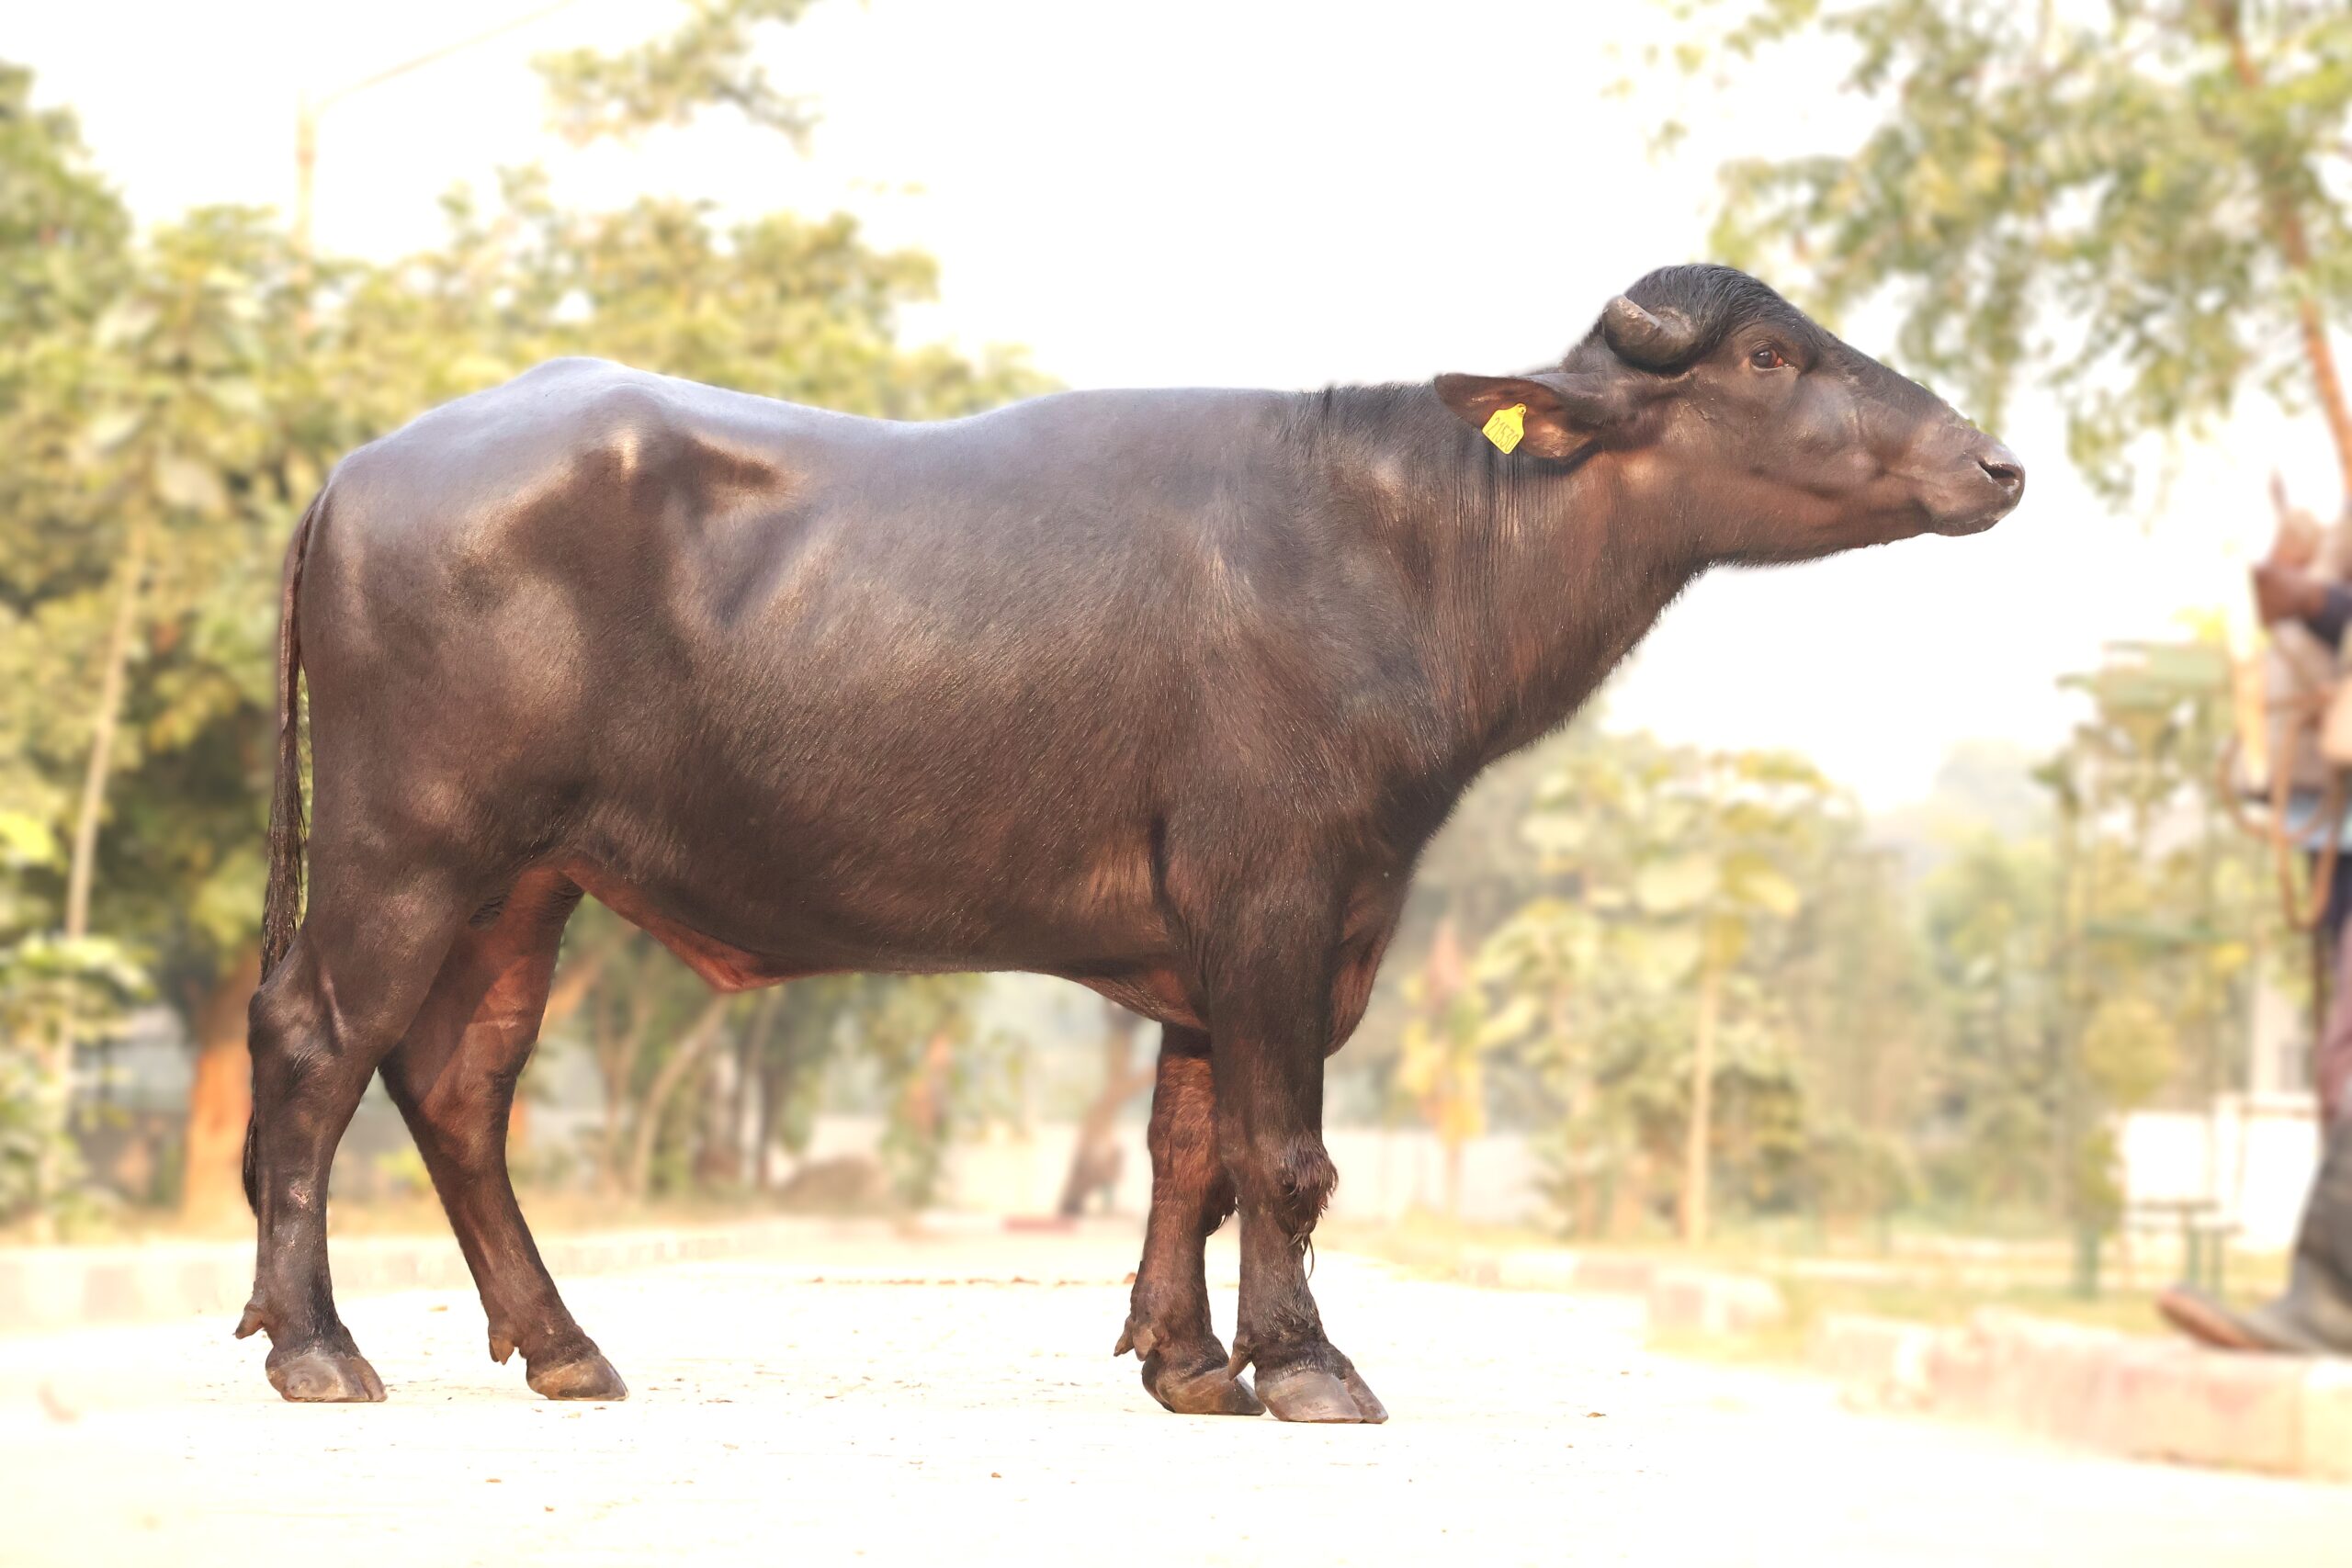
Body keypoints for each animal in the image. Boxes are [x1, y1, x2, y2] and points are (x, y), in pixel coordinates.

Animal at [237, 263, 2022, 1419]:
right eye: (1770, 360)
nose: (1994, 461)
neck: (1416, 550)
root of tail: (361, 472)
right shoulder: (1283, 897)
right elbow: (1286, 1150)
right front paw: (1307, 1364)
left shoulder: (1225, 936)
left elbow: (1191, 1148)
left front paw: (1187, 1359)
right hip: (410, 843)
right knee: (316, 1044)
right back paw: (316, 1347)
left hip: (525, 878)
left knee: (456, 1085)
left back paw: (559, 1343)